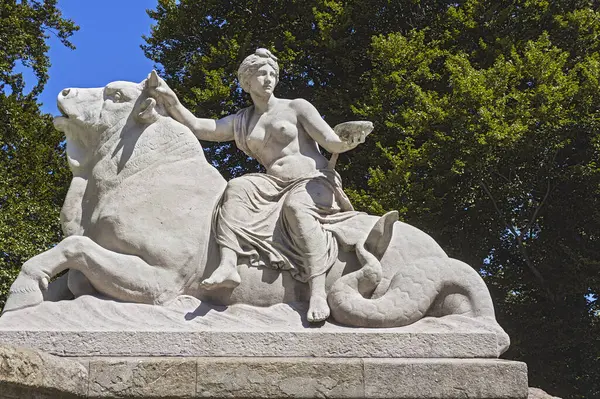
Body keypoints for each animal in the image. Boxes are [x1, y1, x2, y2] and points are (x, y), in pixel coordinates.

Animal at [2, 71, 510, 354]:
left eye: (117, 95)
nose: (64, 92)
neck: (135, 176)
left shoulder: (161, 279)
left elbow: (74, 249)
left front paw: (22, 297)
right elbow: (72, 273)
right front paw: (32, 300)